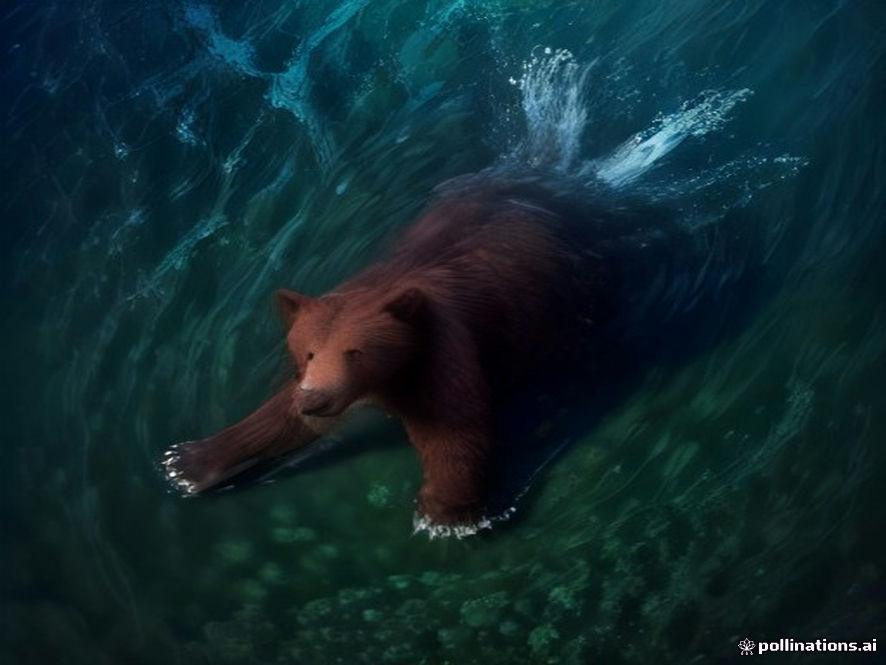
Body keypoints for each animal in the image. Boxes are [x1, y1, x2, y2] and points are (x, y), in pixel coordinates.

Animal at [162, 169, 694, 529]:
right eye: (306, 354)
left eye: (355, 352)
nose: (316, 398)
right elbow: (277, 419)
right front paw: (186, 463)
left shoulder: (441, 352)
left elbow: (454, 428)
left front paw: (446, 513)